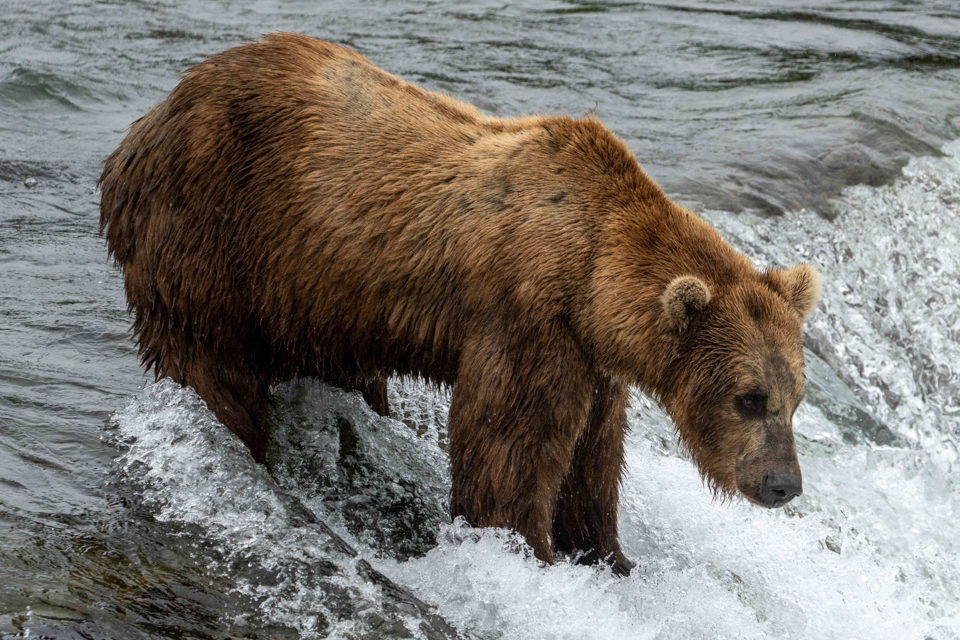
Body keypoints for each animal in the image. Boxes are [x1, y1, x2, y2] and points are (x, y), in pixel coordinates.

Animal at [99, 33, 821, 576]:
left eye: (794, 397)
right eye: (748, 397)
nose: (783, 484)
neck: (593, 276)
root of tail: (147, 122)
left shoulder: (593, 362)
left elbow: (592, 461)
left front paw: (607, 554)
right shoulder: (528, 320)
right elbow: (508, 449)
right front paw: (528, 552)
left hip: (317, 299)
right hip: (213, 232)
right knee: (209, 361)